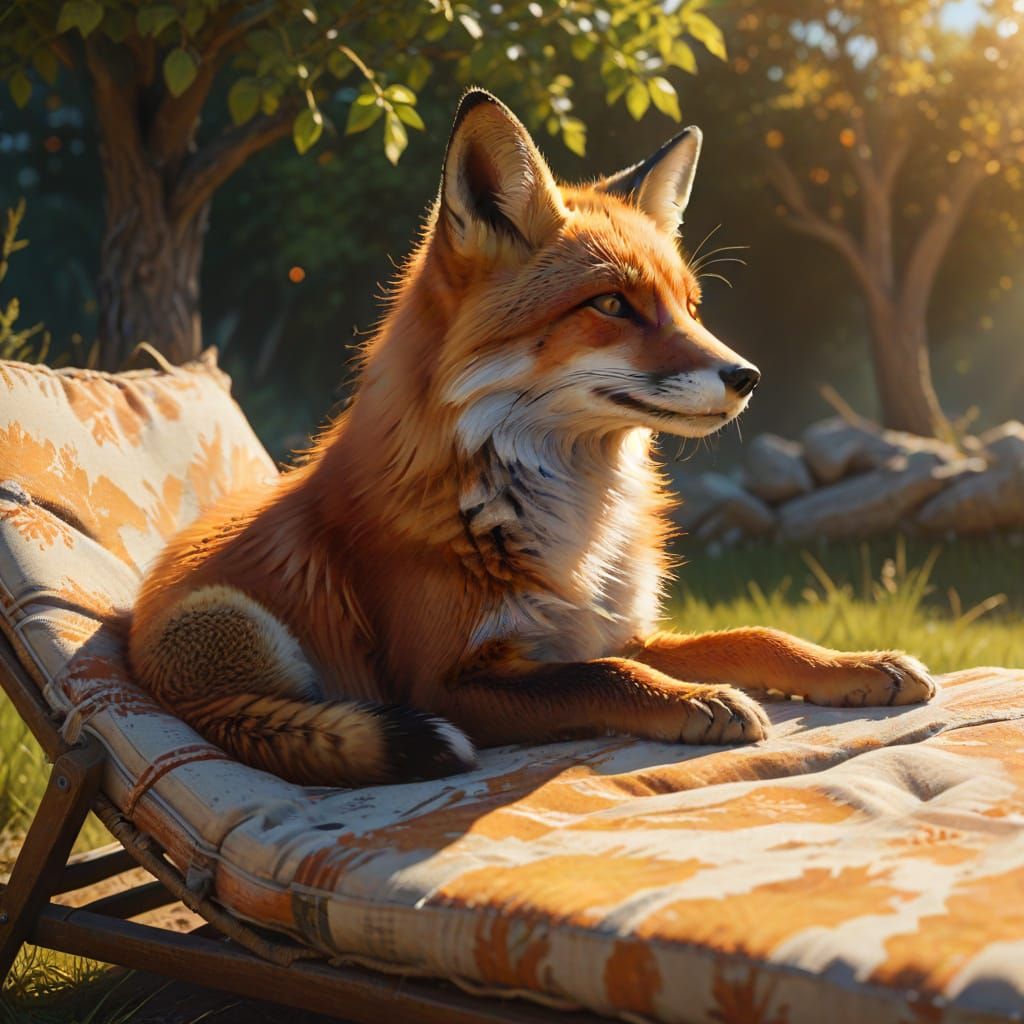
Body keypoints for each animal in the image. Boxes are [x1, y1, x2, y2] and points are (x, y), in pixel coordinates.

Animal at [129, 89, 936, 787]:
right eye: (611, 304)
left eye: (689, 305)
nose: (747, 376)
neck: (571, 519)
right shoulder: (444, 681)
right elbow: (606, 678)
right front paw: (690, 700)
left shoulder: (608, 628)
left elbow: (752, 639)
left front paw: (853, 666)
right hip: (233, 624)